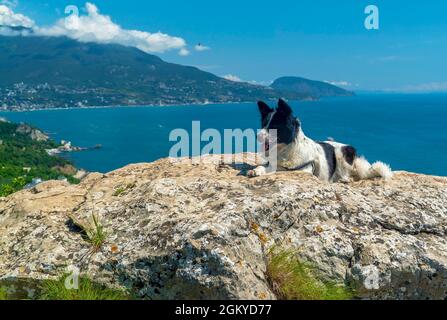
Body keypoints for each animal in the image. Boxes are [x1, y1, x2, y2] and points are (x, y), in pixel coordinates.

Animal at [248, 97, 396, 182]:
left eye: (274, 126)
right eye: (264, 124)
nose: (257, 136)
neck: (287, 149)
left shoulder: (304, 169)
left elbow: (279, 169)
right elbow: (266, 166)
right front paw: (257, 170)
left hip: (342, 153)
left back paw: (344, 179)